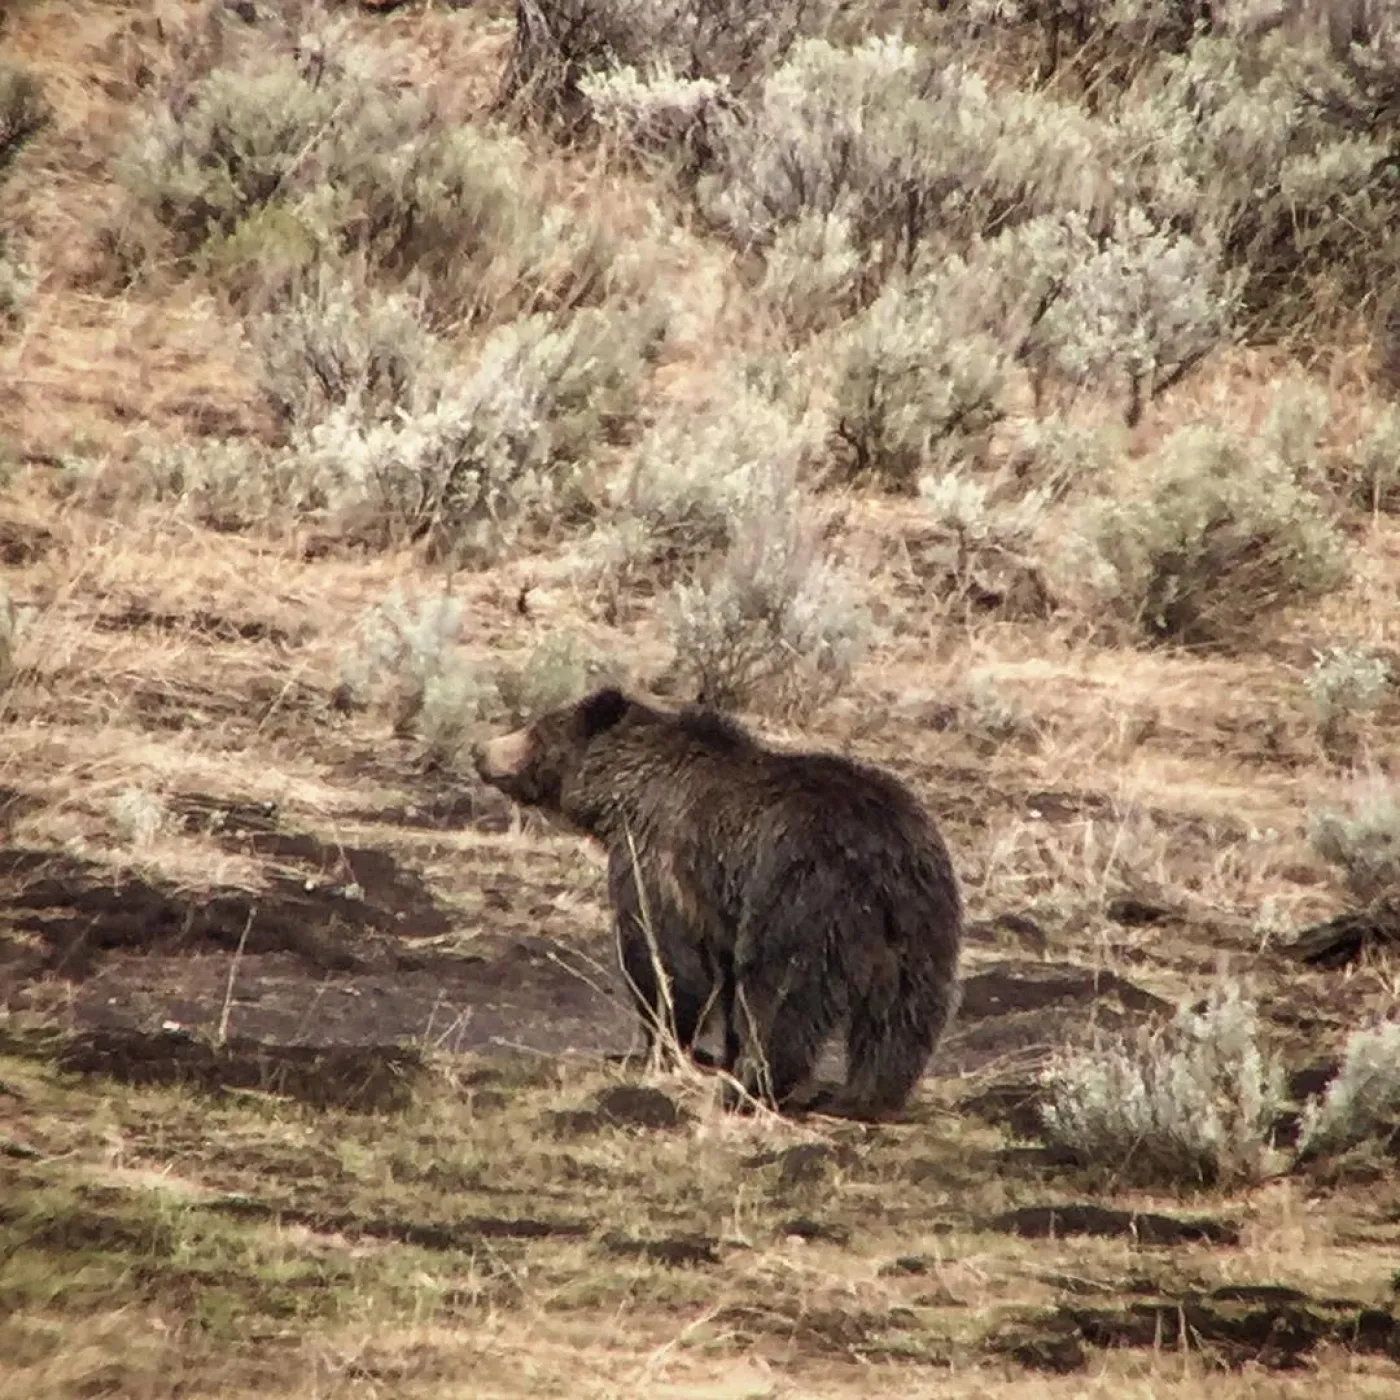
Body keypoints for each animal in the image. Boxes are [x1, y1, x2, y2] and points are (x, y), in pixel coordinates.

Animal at [470, 683, 963, 1120]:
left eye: (538, 727)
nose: (481, 751)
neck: (627, 793)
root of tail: (879, 855)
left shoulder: (657, 859)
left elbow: (664, 959)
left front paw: (659, 1046)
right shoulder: (719, 905)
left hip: (802, 902)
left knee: (780, 999)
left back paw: (753, 1086)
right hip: (921, 919)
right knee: (903, 1016)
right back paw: (866, 1097)